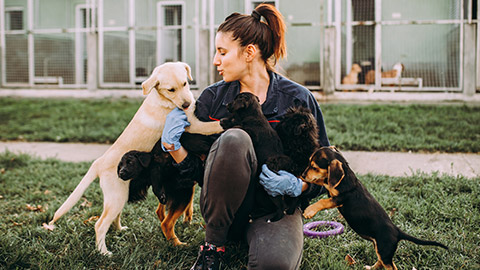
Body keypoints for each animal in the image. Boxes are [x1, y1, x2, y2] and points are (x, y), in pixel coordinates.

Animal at [42, 61, 222, 255]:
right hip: (117, 196)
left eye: (185, 84)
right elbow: (212, 125)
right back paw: (104, 252)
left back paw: (120, 230)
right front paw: (230, 119)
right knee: (100, 224)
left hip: (121, 195)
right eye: (171, 90)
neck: (163, 100)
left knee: (113, 218)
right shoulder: (194, 125)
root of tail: (99, 163)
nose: (188, 104)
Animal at [302, 147, 448, 268]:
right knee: (382, 262)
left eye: (314, 167)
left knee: (390, 266)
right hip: (380, 249)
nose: (303, 175)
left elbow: (323, 201)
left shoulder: (340, 198)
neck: (345, 178)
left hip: (384, 250)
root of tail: (397, 231)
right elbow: (322, 181)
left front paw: (309, 211)